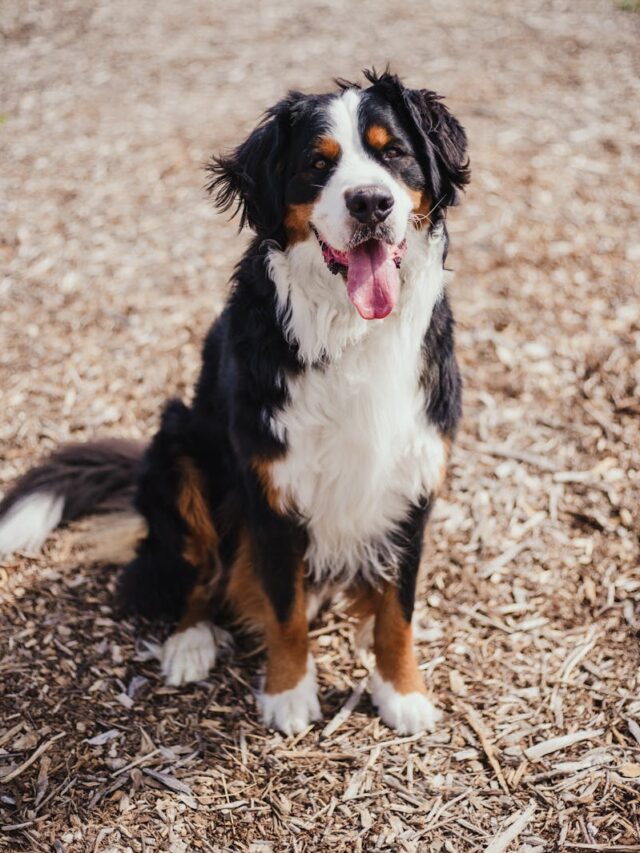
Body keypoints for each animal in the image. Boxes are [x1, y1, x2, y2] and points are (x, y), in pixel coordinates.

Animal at [0, 70, 470, 736]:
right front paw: (289, 694)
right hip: (181, 452)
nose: (370, 203)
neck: (351, 331)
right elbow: (284, 605)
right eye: (317, 165)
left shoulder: (414, 474)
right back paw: (190, 643)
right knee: (196, 574)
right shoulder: (272, 487)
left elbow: (397, 609)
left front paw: (401, 690)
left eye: (394, 153)